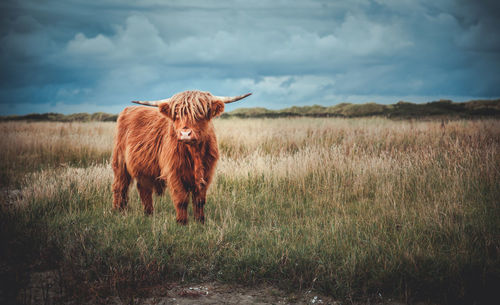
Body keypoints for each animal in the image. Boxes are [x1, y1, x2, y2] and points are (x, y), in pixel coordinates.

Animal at [112, 89, 250, 223]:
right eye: (176, 114)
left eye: (200, 113)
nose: (185, 134)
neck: (195, 153)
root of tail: (128, 109)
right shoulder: (174, 172)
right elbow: (181, 199)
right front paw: (182, 222)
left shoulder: (207, 173)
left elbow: (200, 200)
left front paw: (200, 220)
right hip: (120, 161)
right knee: (120, 186)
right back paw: (119, 210)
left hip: (144, 169)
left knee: (144, 188)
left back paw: (149, 213)